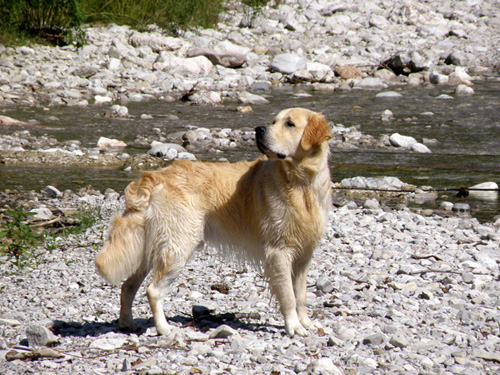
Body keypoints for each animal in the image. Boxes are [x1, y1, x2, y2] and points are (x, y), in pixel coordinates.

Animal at [96, 106, 332, 338]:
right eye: (274, 122)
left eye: (289, 124)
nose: (259, 129)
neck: (301, 183)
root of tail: (154, 177)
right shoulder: (279, 252)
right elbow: (289, 296)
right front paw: (294, 326)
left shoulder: (303, 257)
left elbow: (301, 295)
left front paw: (307, 323)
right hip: (178, 247)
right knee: (153, 291)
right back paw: (164, 328)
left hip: (149, 249)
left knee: (127, 287)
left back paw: (127, 323)